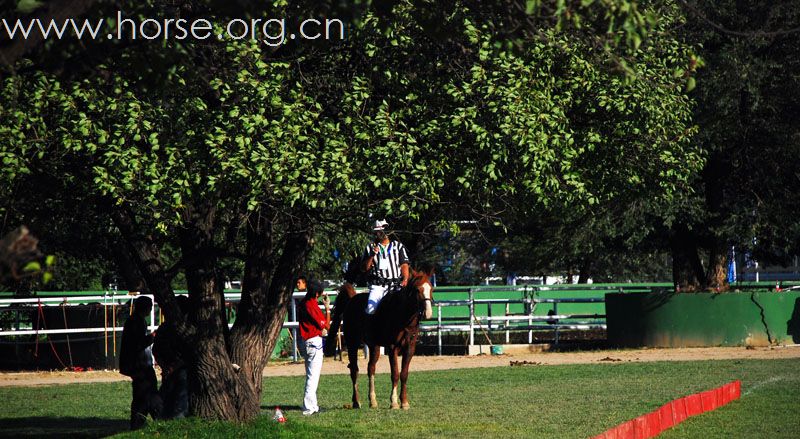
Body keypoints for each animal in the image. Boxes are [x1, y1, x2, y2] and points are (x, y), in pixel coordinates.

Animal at [328, 270, 434, 410]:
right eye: (417, 289)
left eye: (431, 288)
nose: (428, 313)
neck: (403, 316)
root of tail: (352, 299)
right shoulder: (393, 347)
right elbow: (395, 374)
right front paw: (394, 402)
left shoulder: (410, 348)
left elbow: (404, 374)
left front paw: (404, 402)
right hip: (352, 343)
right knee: (354, 370)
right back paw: (356, 401)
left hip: (374, 346)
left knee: (371, 368)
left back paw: (372, 401)